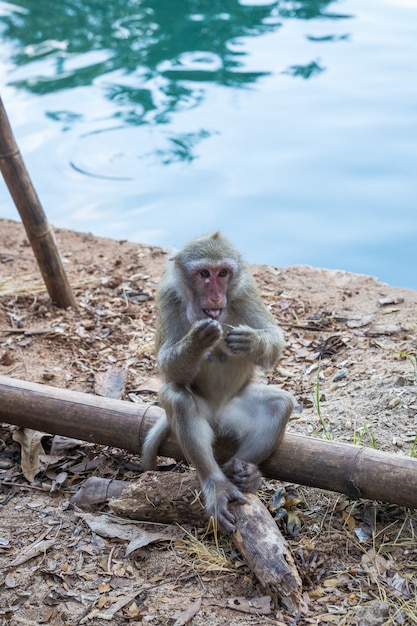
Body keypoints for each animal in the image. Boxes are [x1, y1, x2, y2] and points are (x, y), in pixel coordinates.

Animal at [141, 230, 294, 532]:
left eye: (223, 273)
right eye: (204, 274)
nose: (214, 296)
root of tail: (219, 415)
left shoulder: (246, 289)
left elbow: (274, 337)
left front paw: (251, 341)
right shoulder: (167, 295)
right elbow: (167, 366)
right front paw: (198, 340)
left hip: (237, 407)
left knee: (279, 405)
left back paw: (242, 471)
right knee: (178, 398)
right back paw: (217, 483)